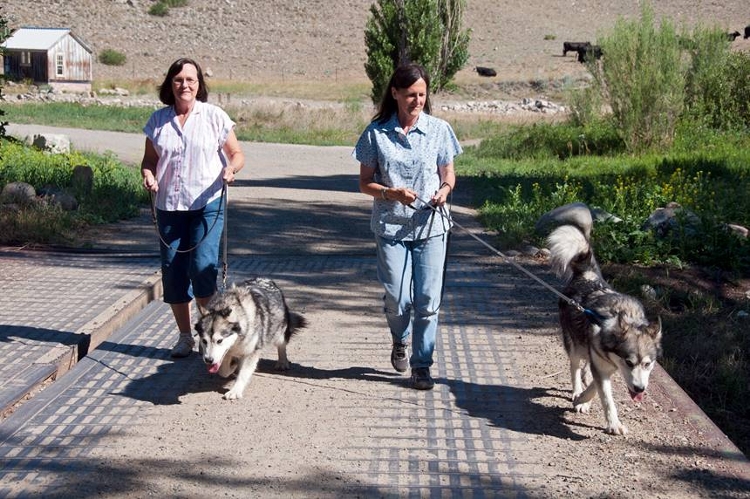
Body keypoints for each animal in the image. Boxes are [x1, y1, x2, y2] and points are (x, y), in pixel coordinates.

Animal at [548, 223, 664, 434]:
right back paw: (577, 388)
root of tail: (587, 273)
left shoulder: (607, 365)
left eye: (647, 364)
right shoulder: (602, 365)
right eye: (629, 362)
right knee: (575, 366)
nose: (640, 389)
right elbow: (606, 397)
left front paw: (584, 400)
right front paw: (613, 423)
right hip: (574, 344)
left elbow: (596, 385)